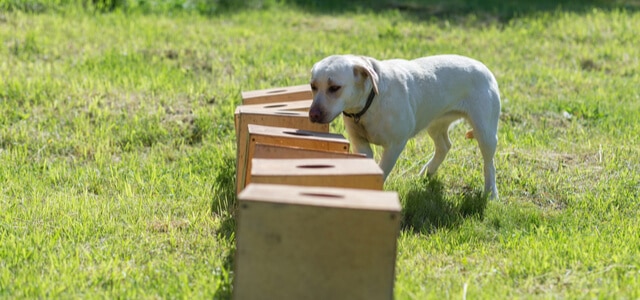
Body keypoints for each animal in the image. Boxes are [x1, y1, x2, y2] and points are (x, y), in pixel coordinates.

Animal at [308, 54, 500, 199]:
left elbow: (382, 170)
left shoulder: (395, 146)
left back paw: (491, 193)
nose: (313, 115)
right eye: (313, 86)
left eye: (335, 87)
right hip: (436, 123)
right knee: (444, 146)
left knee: (489, 164)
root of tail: (484, 67)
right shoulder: (360, 142)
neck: (371, 100)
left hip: (485, 132)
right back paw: (427, 172)